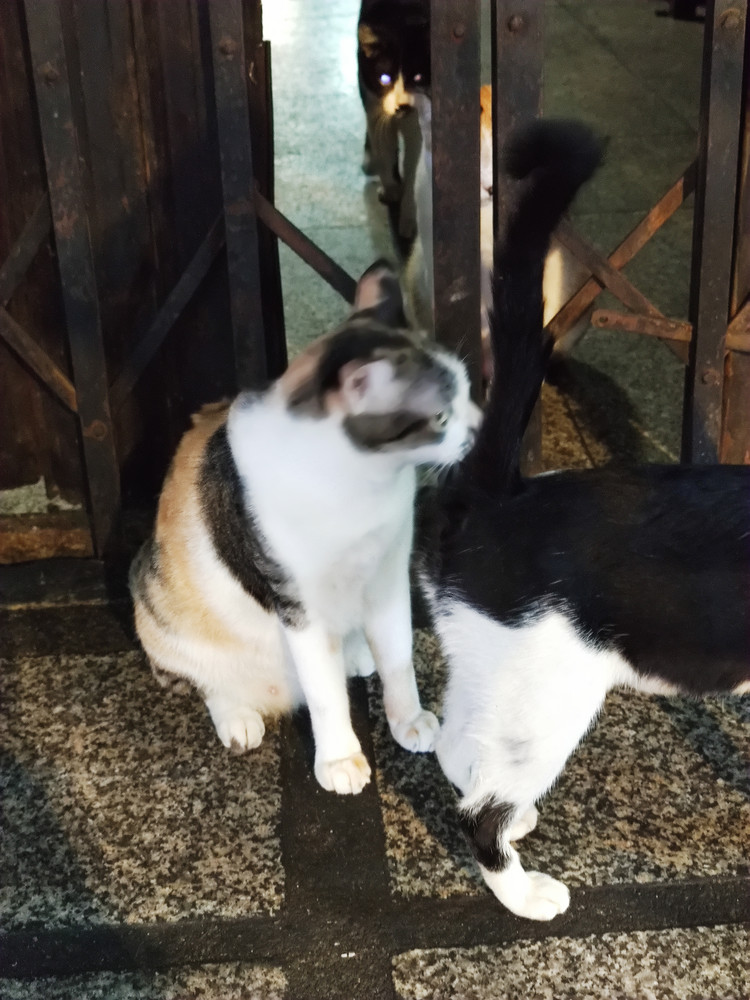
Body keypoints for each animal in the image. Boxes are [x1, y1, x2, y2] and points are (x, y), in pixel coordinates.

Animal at [129, 261, 478, 796]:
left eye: (467, 392)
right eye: (441, 416)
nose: (478, 429)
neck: (360, 487)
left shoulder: (389, 572)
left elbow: (399, 655)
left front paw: (407, 718)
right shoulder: (297, 602)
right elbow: (325, 693)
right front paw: (339, 759)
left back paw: (355, 653)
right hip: (159, 608)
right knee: (210, 682)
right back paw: (238, 715)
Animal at [357, 0, 430, 241]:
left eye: (418, 77)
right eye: (385, 78)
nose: (403, 105)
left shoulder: (417, 122)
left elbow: (412, 165)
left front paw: (407, 219)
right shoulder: (373, 104)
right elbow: (384, 151)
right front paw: (391, 190)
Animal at [416, 119, 750, 920]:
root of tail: (499, 493)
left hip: (495, 669)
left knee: (458, 749)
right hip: (550, 699)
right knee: (478, 812)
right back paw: (521, 887)